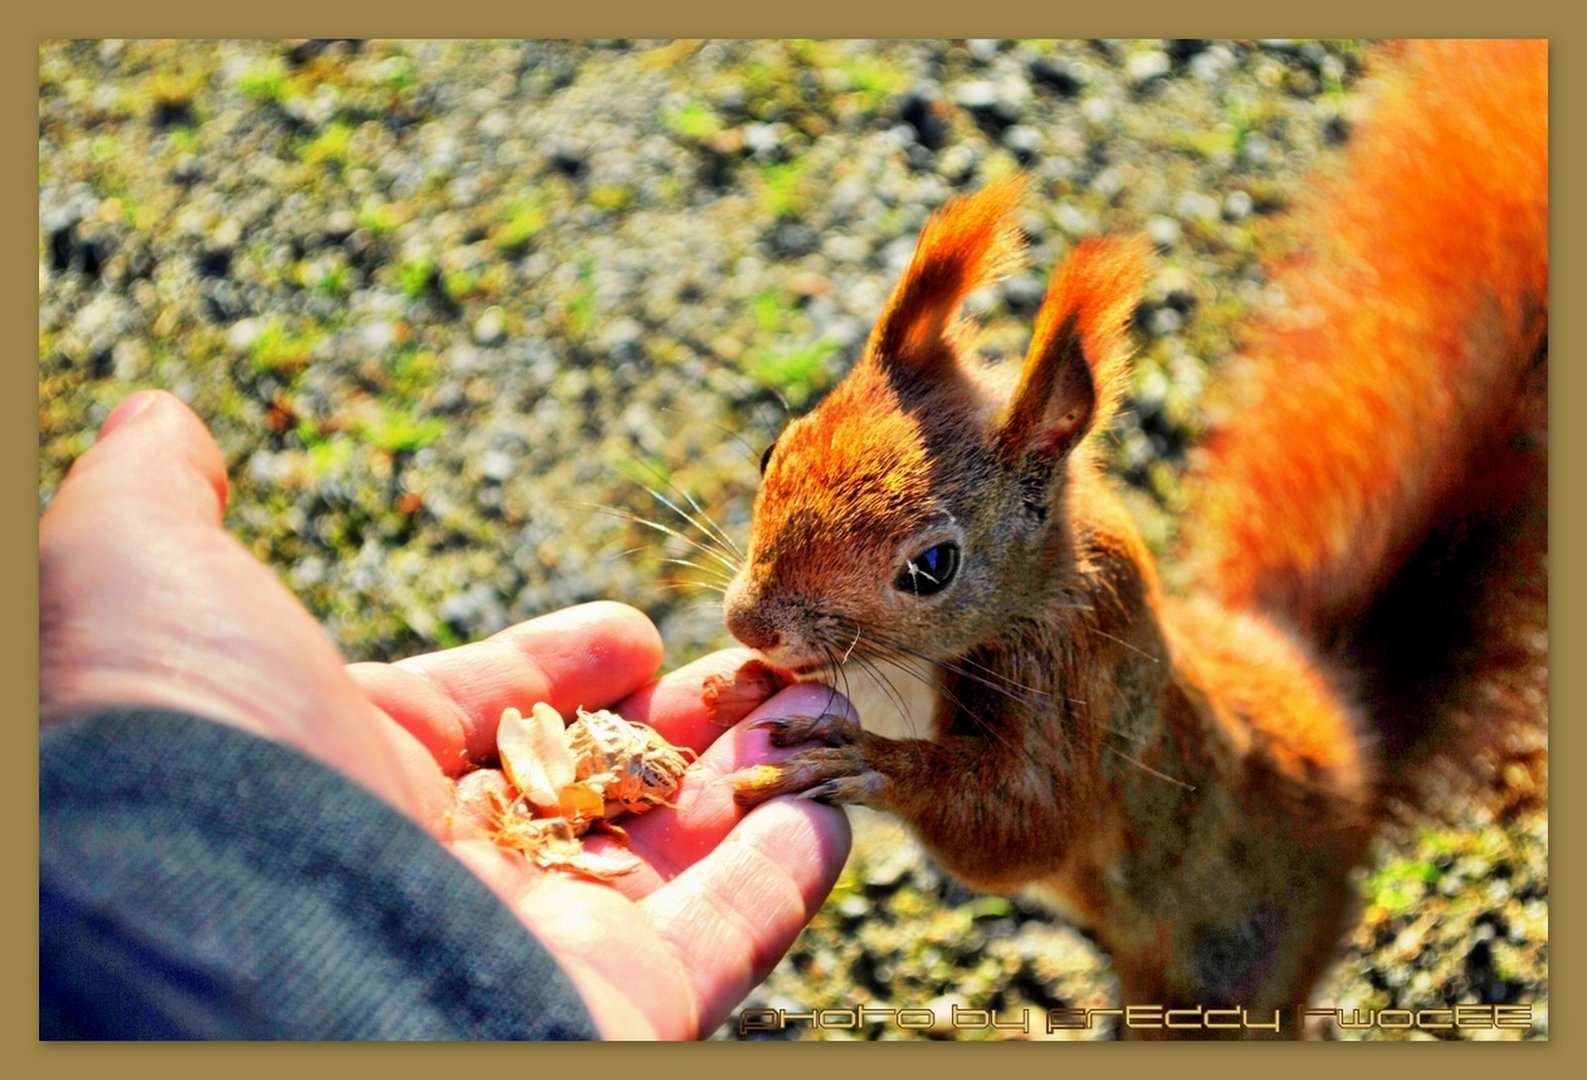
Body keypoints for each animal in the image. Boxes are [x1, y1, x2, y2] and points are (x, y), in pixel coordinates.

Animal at [726, 42, 1542, 1034]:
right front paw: (743, 681)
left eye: (931, 567)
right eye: (774, 448)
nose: (748, 623)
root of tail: (1349, 745)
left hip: (1224, 976)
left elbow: (1022, 827)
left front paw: (870, 762)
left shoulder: (1079, 685)